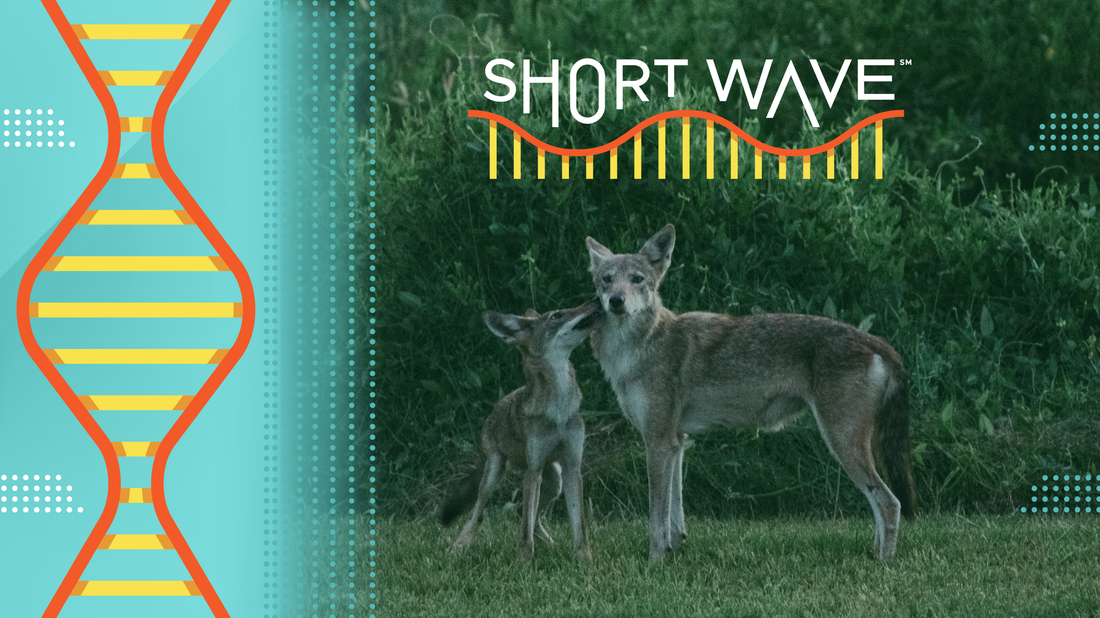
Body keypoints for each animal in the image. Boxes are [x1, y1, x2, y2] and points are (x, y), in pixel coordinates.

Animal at [441, 298, 601, 560]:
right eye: (557, 315)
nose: (596, 299)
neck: (559, 410)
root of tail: (495, 409)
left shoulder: (571, 467)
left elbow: (580, 528)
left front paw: (584, 559)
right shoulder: (533, 472)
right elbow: (524, 530)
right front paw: (523, 561)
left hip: (554, 482)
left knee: (520, 511)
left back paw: (552, 544)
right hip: (496, 475)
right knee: (478, 514)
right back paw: (458, 547)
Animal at [585, 224, 915, 563]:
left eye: (637, 279)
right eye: (607, 279)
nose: (616, 300)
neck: (639, 348)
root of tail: (874, 341)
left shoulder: (658, 442)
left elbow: (656, 517)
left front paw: (655, 562)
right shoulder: (676, 442)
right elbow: (674, 516)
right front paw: (674, 551)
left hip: (841, 442)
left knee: (889, 503)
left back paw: (883, 561)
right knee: (881, 504)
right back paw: (873, 553)